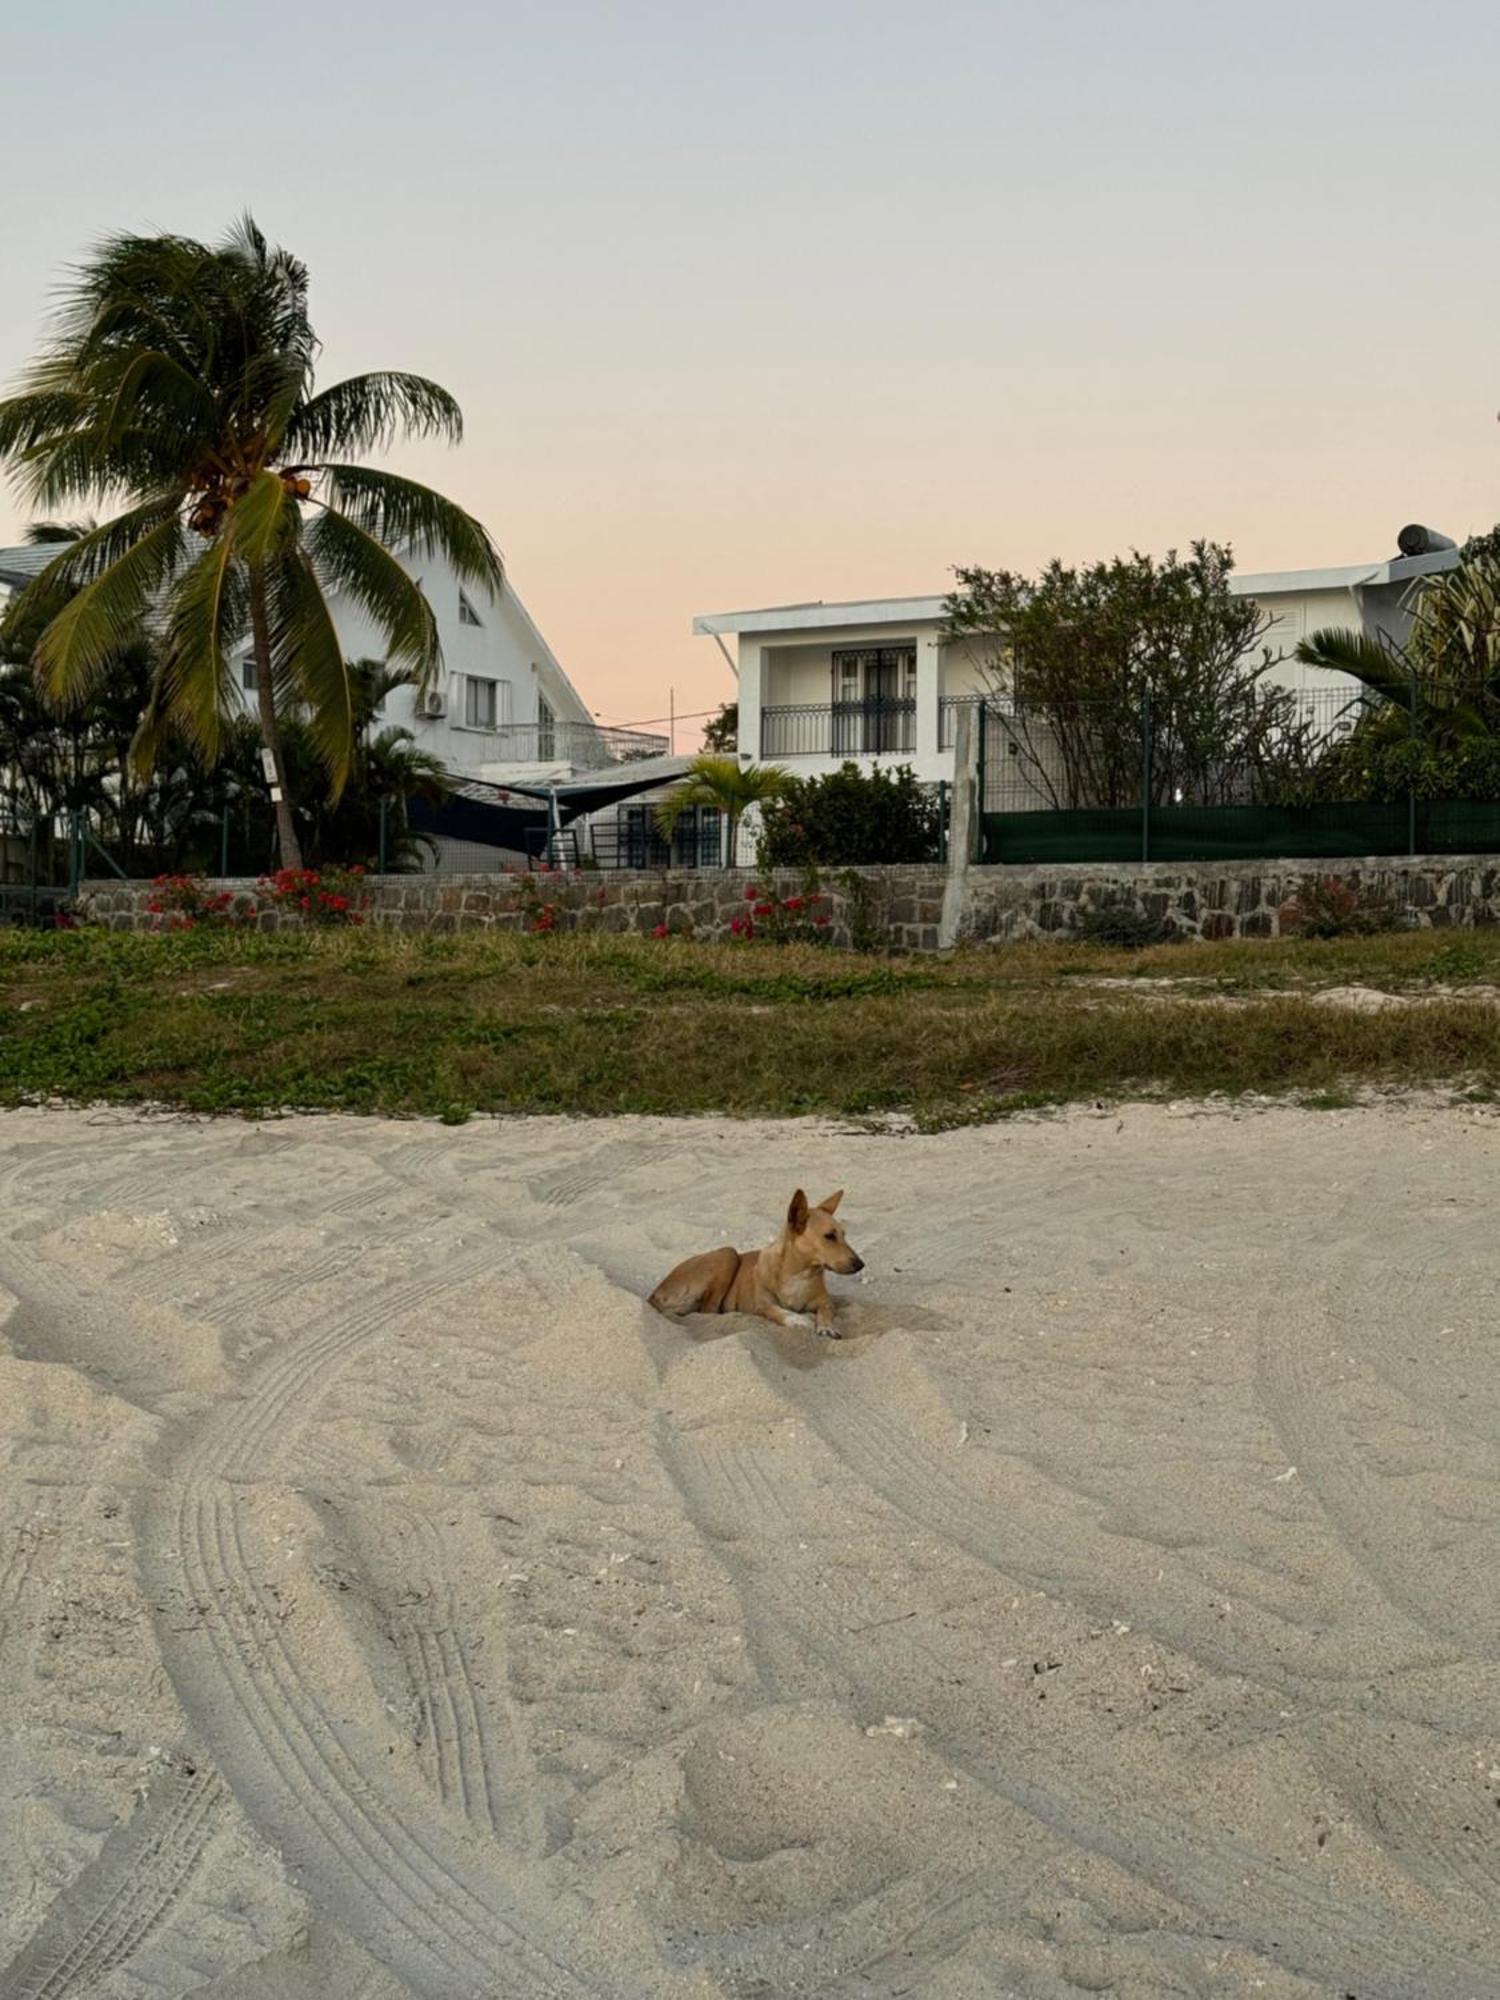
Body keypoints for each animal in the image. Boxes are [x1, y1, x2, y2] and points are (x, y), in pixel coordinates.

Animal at [648, 1192, 868, 1336]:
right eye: (829, 1236)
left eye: (844, 1235)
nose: (860, 1265)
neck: (799, 1273)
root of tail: (653, 1295)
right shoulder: (762, 1305)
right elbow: (777, 1311)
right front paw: (796, 1319)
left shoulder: (825, 1301)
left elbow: (826, 1310)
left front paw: (826, 1326)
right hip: (728, 1253)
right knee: (708, 1310)